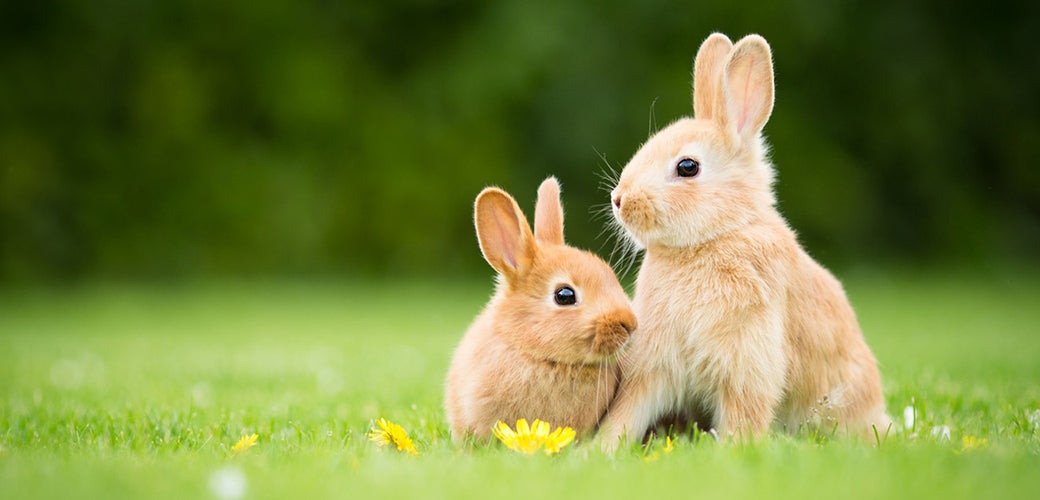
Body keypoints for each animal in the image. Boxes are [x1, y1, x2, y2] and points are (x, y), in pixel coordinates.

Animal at [599, 34, 890, 449]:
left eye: (687, 167)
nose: (619, 199)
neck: (716, 235)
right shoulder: (654, 364)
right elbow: (628, 412)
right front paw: (597, 449)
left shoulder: (747, 362)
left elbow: (743, 414)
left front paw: (734, 450)